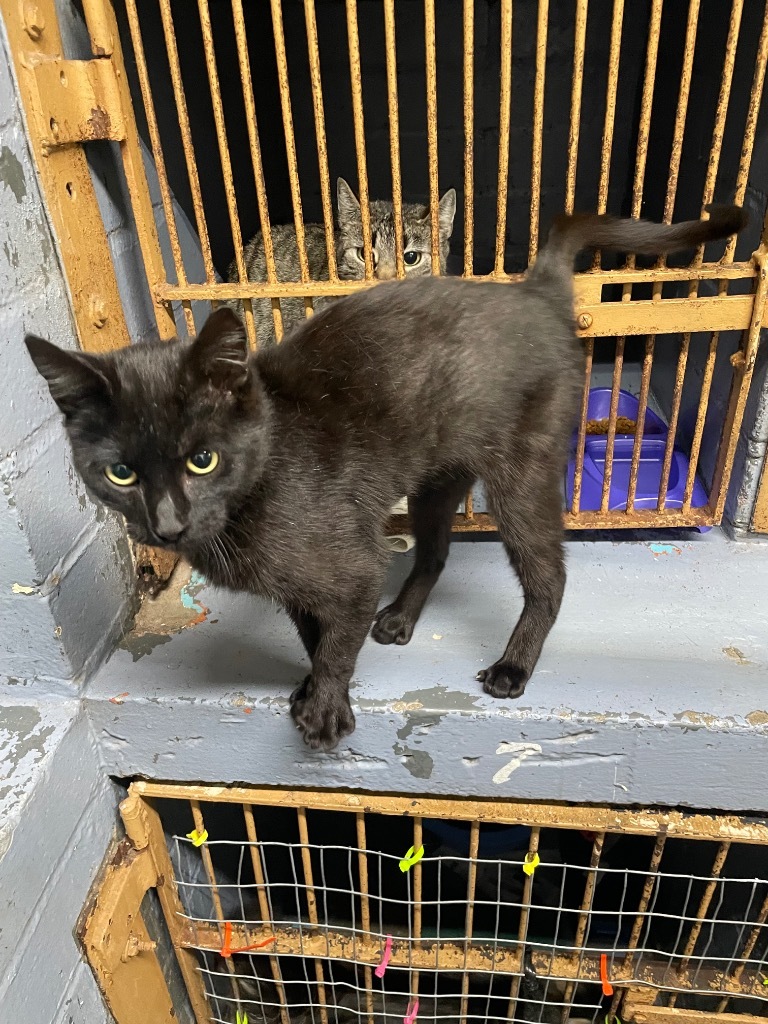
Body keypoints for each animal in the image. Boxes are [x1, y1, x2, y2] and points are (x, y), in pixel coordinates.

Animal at [27, 207, 749, 753]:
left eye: (202, 460)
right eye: (119, 472)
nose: (168, 524)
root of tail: (530, 288)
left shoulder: (354, 565)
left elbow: (337, 636)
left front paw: (326, 708)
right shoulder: (306, 584)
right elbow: (315, 632)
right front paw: (313, 685)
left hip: (520, 473)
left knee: (549, 575)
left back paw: (513, 665)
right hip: (436, 479)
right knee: (434, 551)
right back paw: (401, 617)